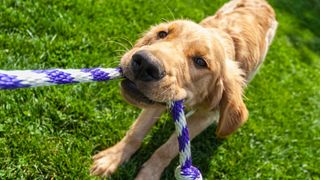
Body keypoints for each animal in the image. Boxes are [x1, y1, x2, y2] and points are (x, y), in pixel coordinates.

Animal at [90, 0, 278, 179]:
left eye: (201, 62)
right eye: (162, 34)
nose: (145, 64)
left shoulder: (205, 115)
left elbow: (168, 149)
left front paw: (148, 174)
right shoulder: (159, 99)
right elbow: (136, 132)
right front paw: (112, 158)